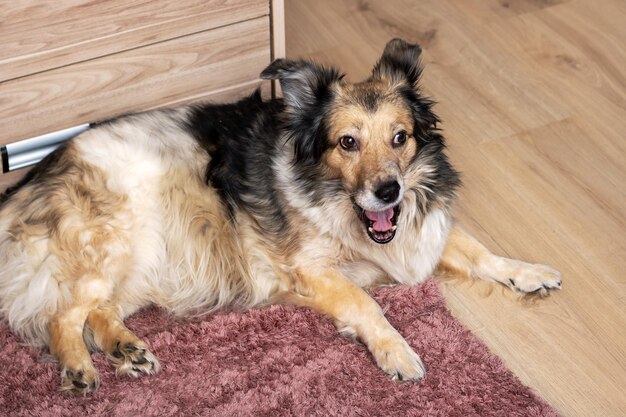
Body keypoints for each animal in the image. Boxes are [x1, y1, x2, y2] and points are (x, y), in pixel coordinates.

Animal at [0, 39, 560, 394]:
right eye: (347, 143)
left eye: (400, 137)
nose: (388, 191)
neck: (340, 202)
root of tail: (28, 182)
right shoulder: (309, 270)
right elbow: (366, 304)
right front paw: (396, 351)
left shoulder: (424, 232)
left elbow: (481, 252)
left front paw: (528, 272)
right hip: (116, 241)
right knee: (61, 315)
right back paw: (79, 369)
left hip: (143, 263)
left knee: (97, 313)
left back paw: (125, 348)